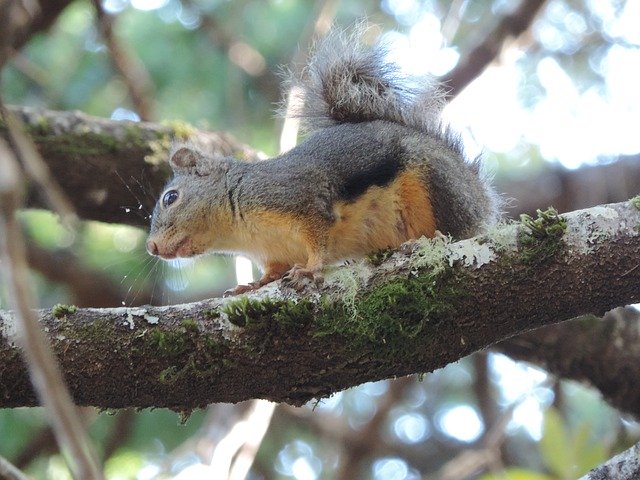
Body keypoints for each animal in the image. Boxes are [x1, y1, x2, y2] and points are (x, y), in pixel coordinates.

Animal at [145, 29, 500, 296]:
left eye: (170, 198)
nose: (151, 247)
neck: (241, 230)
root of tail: (480, 198)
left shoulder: (300, 199)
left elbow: (319, 241)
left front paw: (310, 269)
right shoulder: (274, 253)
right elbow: (272, 272)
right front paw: (253, 284)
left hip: (434, 183)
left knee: (458, 229)